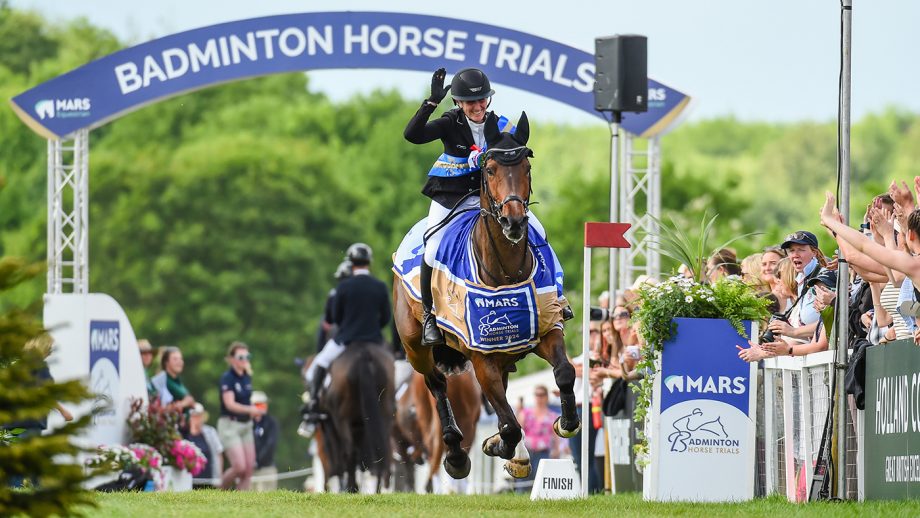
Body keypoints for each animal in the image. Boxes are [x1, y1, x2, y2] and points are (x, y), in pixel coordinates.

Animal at [316, 344, 396, 494]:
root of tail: (364, 352)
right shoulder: (360, 427)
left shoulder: (331, 424)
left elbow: (339, 455)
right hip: (384, 417)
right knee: (382, 451)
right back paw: (376, 488)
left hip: (342, 420)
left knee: (349, 453)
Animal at [392, 114, 580, 484]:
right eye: (489, 169)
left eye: (526, 166)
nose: (513, 221)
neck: (505, 271)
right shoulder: (482, 359)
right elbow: (510, 425)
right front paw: (499, 444)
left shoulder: (546, 329)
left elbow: (564, 373)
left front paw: (565, 423)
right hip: (416, 348)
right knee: (437, 384)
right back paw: (455, 455)